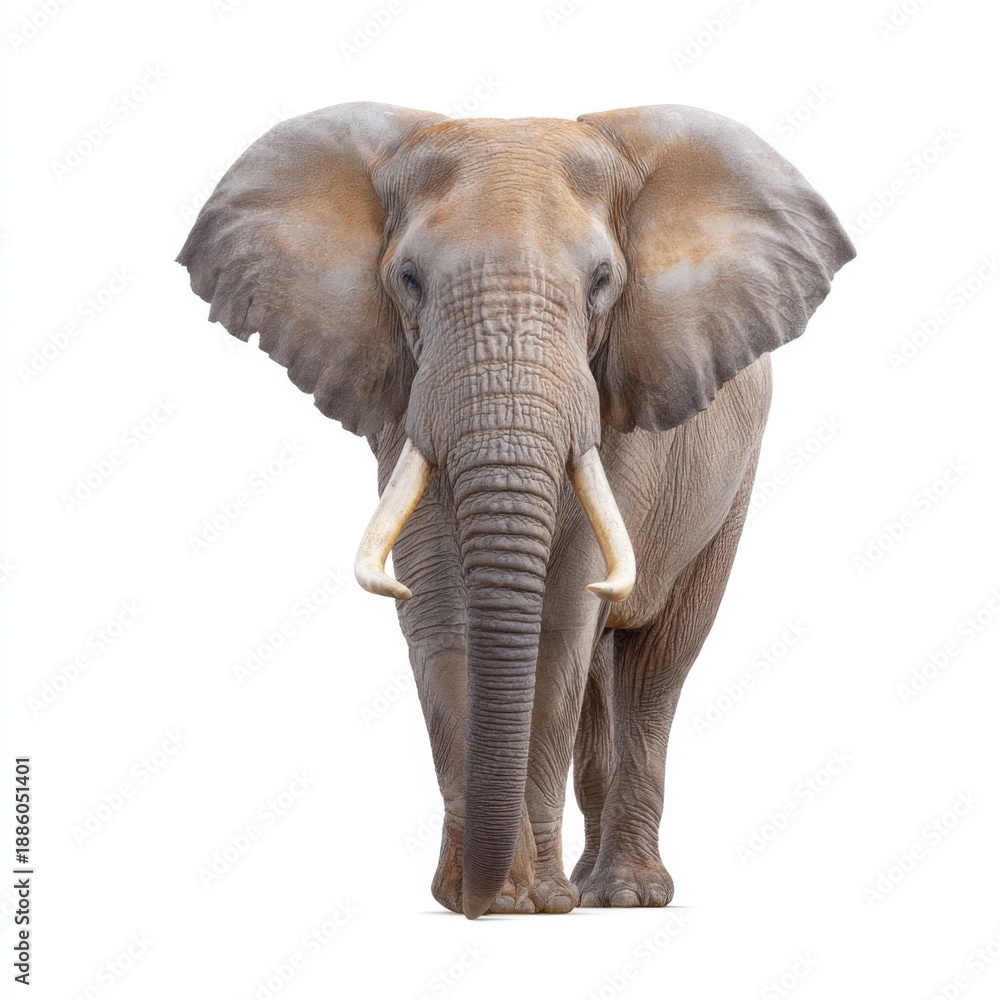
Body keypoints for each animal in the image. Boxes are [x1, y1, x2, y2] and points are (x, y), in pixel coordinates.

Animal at [177, 102, 854, 919]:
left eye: (603, 281)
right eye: (408, 279)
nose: (475, 899)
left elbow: (561, 616)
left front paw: (525, 901)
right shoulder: (403, 396)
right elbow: (440, 609)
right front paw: (488, 898)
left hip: (734, 482)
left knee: (656, 666)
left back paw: (624, 893)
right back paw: (589, 888)